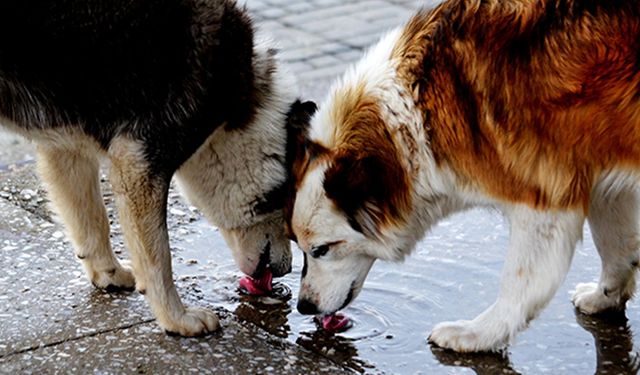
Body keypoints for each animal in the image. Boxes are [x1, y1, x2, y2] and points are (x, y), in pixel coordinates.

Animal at [288, 0, 640, 352]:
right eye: (298, 246)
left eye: (321, 250)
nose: (304, 306)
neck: (420, 108)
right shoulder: (603, 177)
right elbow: (617, 246)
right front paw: (605, 297)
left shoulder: (545, 199)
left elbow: (521, 283)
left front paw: (479, 333)